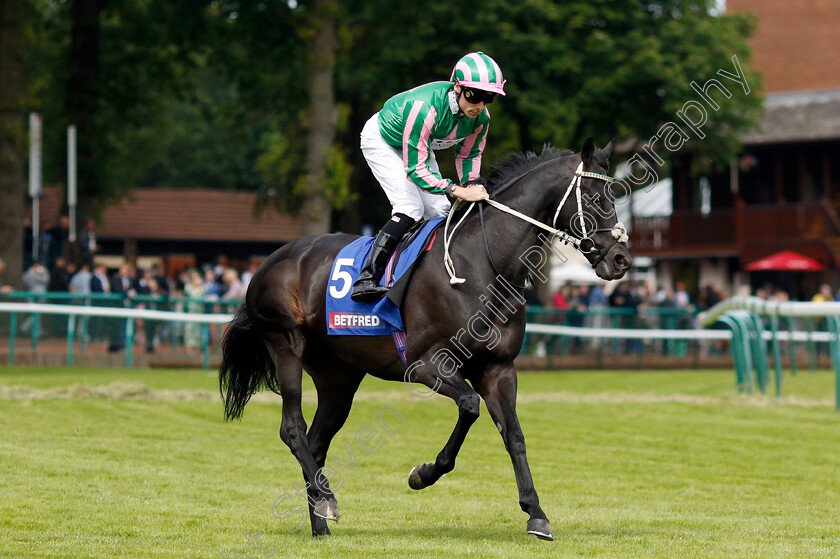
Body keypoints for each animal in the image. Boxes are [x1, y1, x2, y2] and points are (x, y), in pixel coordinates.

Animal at [220, 138, 632, 540]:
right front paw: (423, 474)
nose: (620, 259)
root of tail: (271, 260)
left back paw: (321, 522)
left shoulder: (498, 368)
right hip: (285, 342)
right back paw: (328, 501)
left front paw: (537, 514)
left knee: (316, 442)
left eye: (613, 195)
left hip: (338, 375)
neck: (480, 266)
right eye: (595, 197)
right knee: (293, 429)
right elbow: (469, 406)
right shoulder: (424, 364)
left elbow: (513, 434)